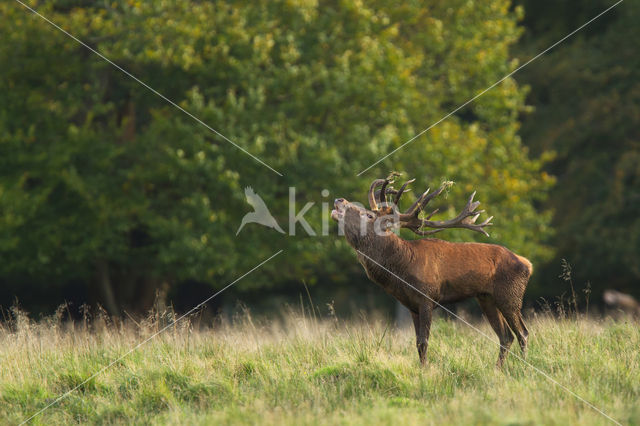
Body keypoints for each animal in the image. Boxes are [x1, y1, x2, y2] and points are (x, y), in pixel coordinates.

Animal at [332, 175, 532, 368]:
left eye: (368, 215)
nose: (339, 199)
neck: (401, 270)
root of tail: (527, 264)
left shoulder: (427, 296)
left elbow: (423, 341)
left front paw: (425, 370)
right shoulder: (411, 305)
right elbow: (416, 342)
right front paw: (422, 367)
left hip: (510, 294)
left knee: (522, 332)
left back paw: (524, 367)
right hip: (486, 298)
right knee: (506, 336)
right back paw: (497, 368)